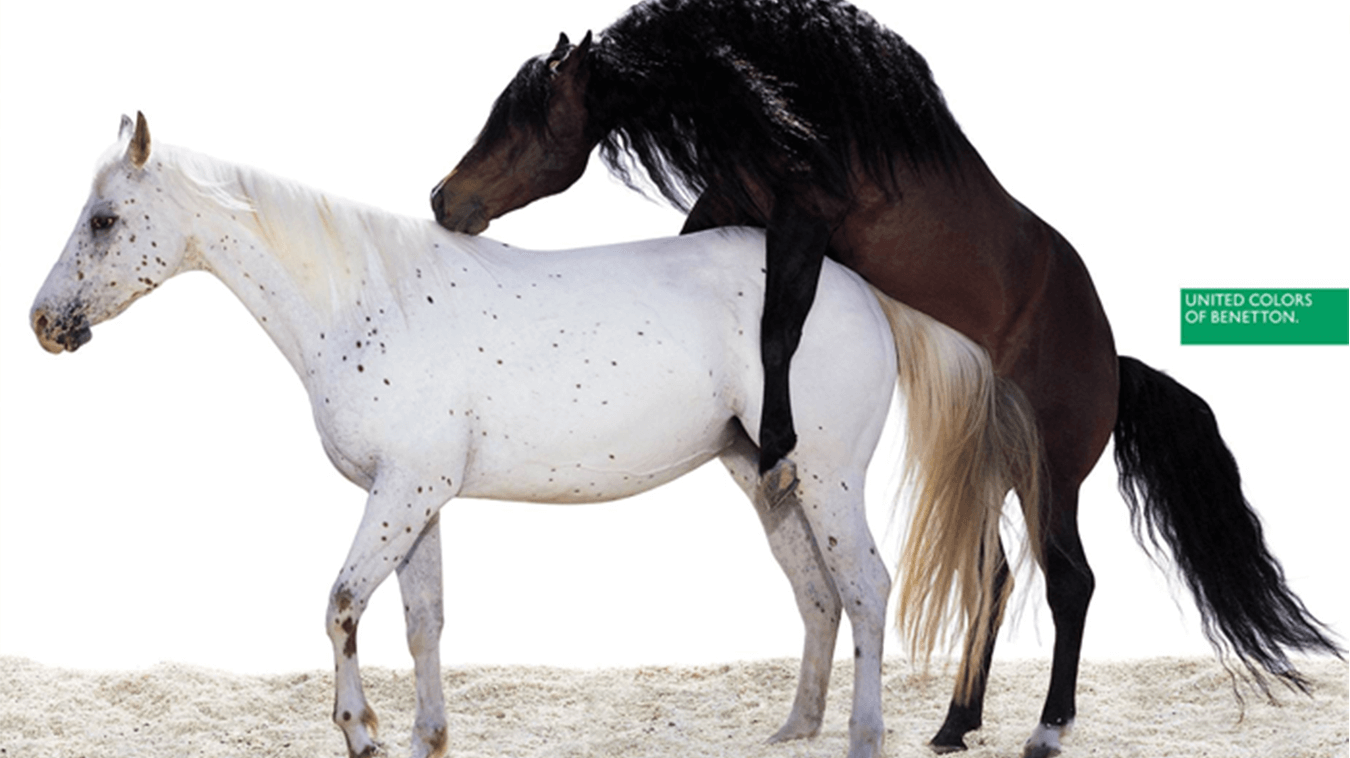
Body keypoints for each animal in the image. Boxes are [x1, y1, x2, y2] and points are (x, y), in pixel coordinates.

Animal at [30, 112, 1047, 758]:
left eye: (106, 219)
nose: (44, 322)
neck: (370, 299)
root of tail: (861, 289)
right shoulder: (417, 499)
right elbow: (423, 622)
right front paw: (426, 738)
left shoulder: (402, 494)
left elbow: (342, 604)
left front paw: (361, 733)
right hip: (768, 475)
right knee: (818, 595)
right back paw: (793, 732)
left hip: (832, 476)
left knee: (866, 589)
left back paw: (865, 740)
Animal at [426, 1, 1344, 755]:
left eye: (524, 117)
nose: (443, 198)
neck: (804, 102)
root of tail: (1112, 362)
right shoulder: (738, 201)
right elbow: (720, 272)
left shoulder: (804, 217)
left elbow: (779, 324)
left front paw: (777, 439)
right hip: (991, 469)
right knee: (996, 576)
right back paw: (955, 723)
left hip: (1052, 476)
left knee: (1069, 580)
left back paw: (1047, 727)